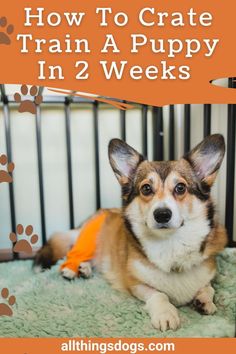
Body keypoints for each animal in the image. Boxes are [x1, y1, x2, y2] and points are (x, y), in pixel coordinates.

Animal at [33, 134, 227, 330]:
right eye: (146, 188)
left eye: (181, 187)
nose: (162, 215)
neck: (170, 244)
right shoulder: (135, 283)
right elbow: (159, 294)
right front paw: (166, 314)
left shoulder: (208, 273)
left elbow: (208, 287)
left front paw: (204, 301)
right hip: (88, 241)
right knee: (74, 255)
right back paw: (73, 270)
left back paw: (85, 270)